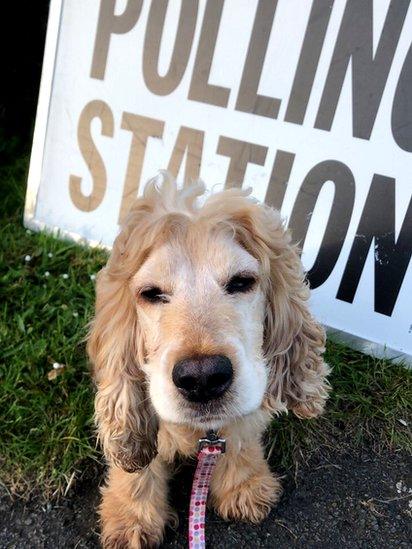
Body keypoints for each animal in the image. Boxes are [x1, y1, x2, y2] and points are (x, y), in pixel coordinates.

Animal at [87, 173, 328, 544]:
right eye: (151, 293)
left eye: (242, 282)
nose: (202, 377)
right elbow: (138, 461)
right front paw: (131, 518)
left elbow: (241, 434)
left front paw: (244, 486)